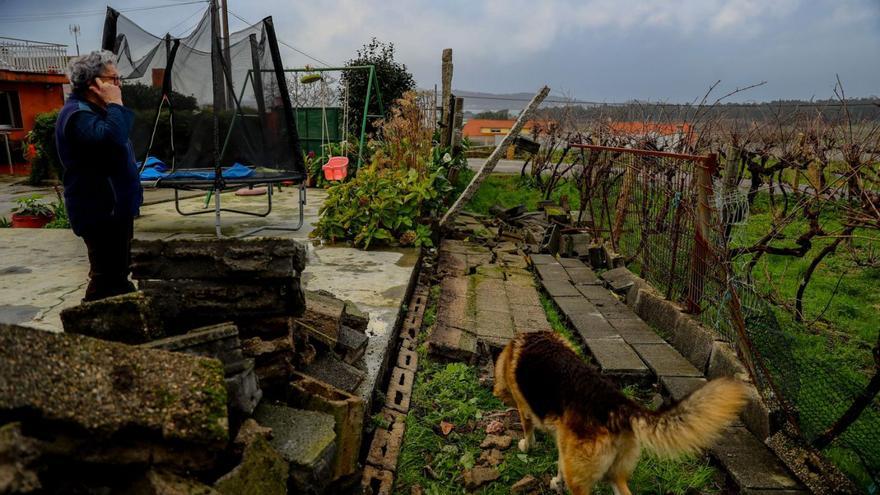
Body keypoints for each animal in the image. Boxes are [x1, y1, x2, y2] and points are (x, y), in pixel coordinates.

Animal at [492, 332, 744, 494]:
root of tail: (619, 406)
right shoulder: (564, 450)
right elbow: (559, 465)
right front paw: (555, 481)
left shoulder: (525, 411)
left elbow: (528, 432)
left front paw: (526, 446)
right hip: (614, 473)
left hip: (581, 481)